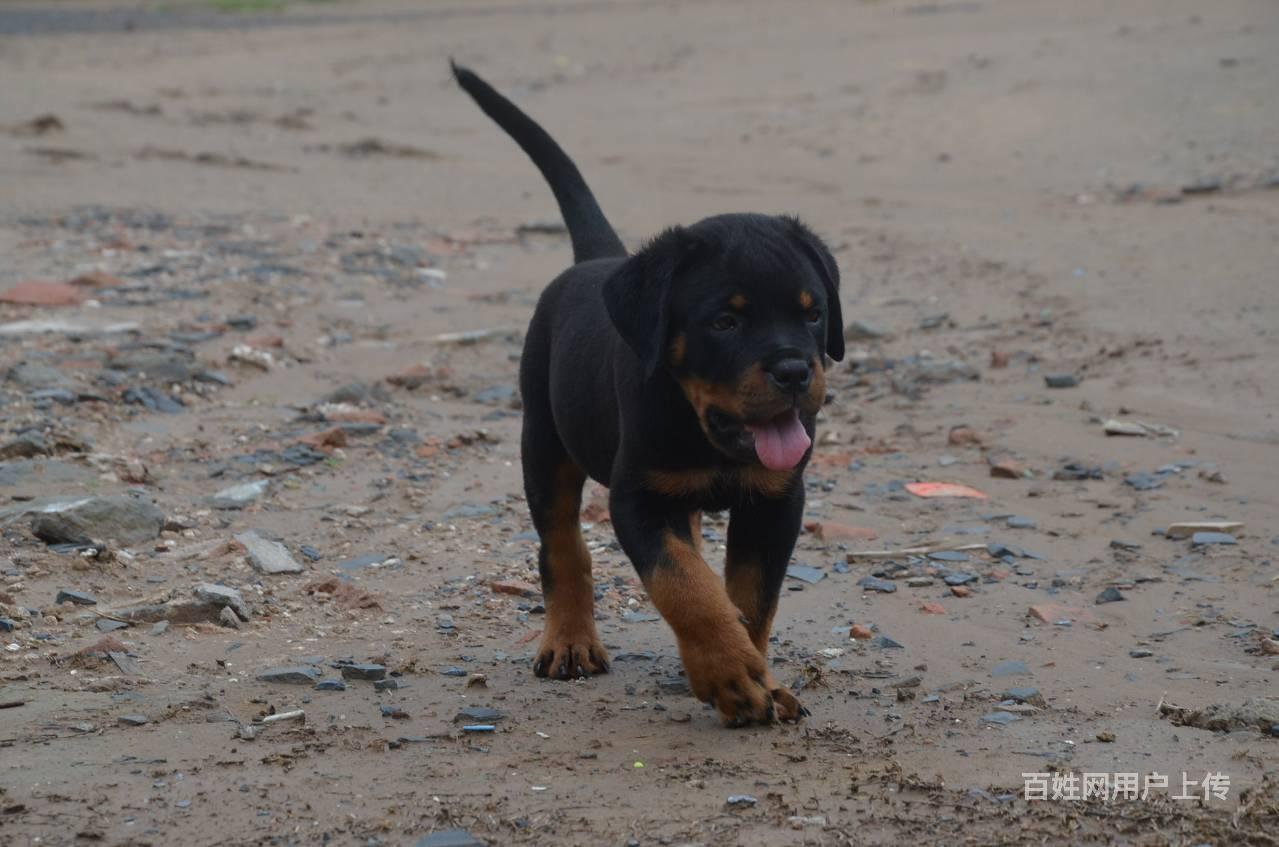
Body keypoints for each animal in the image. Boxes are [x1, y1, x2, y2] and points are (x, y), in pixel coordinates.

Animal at [455, 61, 844, 731]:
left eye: (813, 313)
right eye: (725, 322)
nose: (796, 372)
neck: (702, 430)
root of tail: (600, 259)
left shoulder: (776, 500)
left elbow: (749, 597)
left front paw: (759, 679)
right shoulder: (638, 497)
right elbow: (684, 586)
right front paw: (730, 674)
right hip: (543, 444)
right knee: (562, 548)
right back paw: (569, 642)